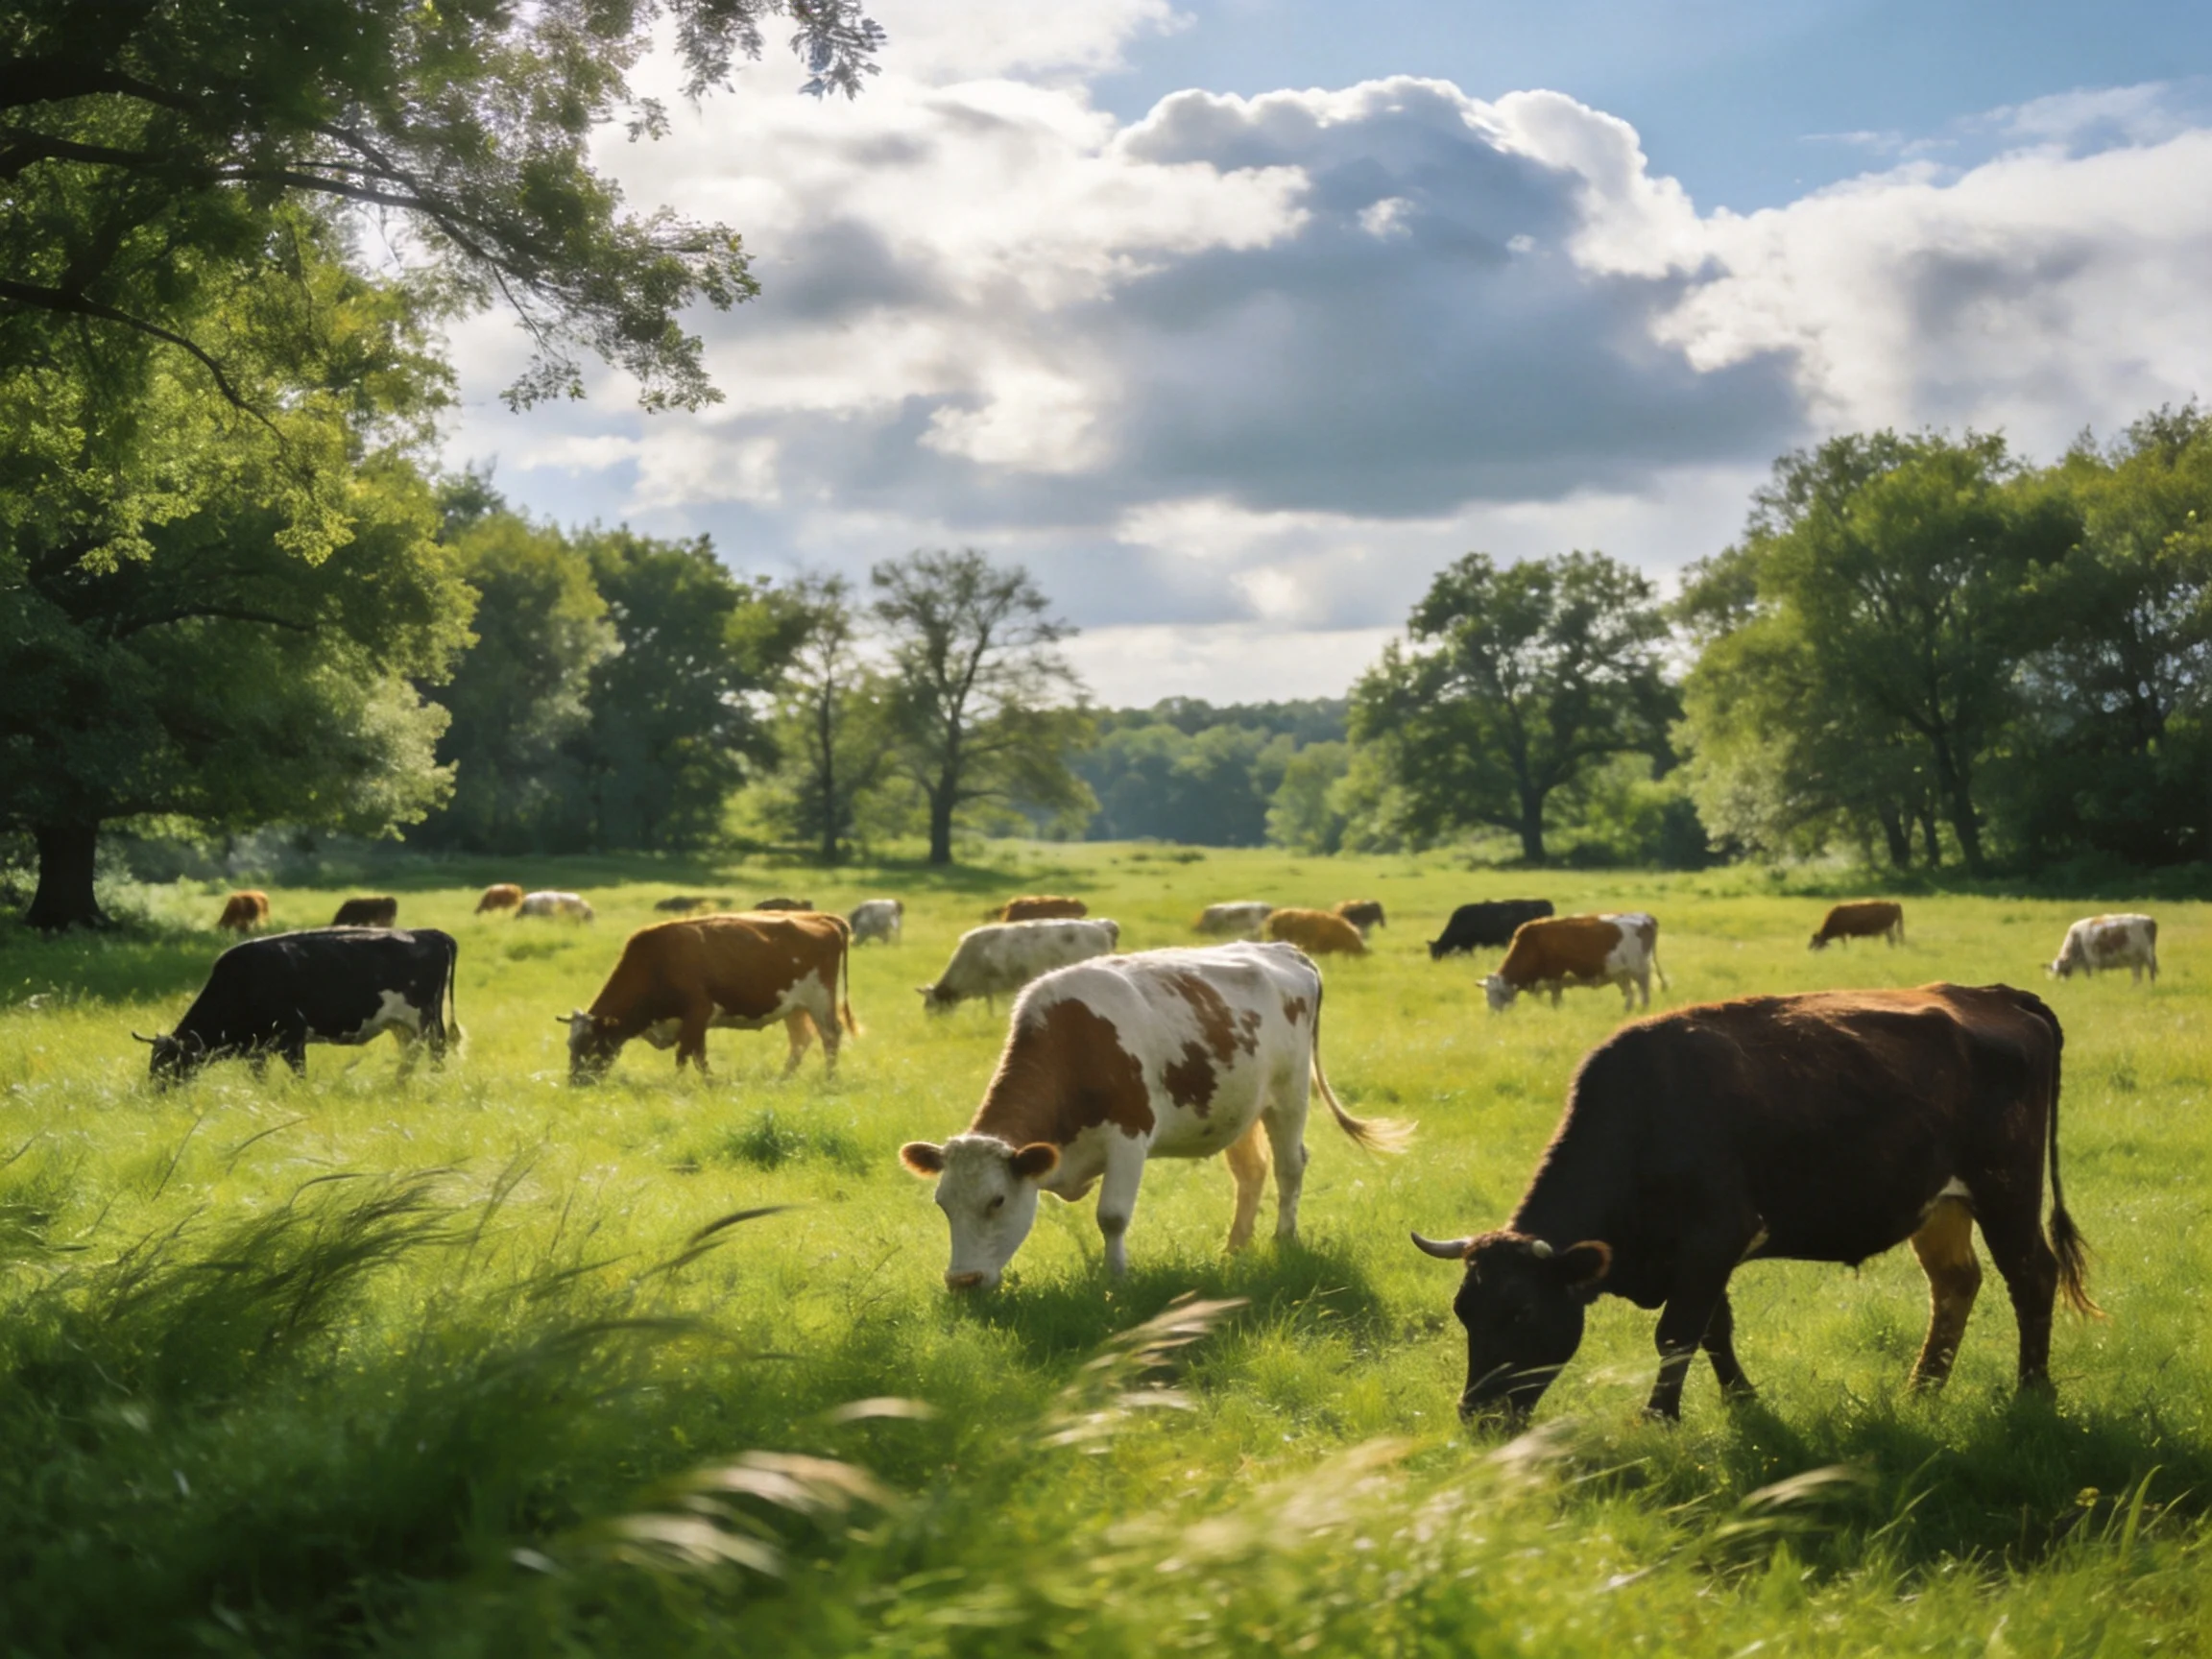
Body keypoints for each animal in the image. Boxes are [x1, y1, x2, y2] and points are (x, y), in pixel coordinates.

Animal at [136, 928, 459, 1086]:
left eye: (169, 1065)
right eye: (153, 1064)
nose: (156, 1095)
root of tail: (429, 933)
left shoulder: (292, 1036)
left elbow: (299, 1073)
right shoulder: (257, 1048)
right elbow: (259, 1078)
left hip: (425, 1018)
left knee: (436, 1049)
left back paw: (434, 1080)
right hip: (401, 1024)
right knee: (411, 1052)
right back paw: (399, 1083)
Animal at [564, 912, 857, 1083]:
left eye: (591, 1043)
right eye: (570, 1045)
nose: (576, 1083)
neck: (655, 962)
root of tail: (823, 919)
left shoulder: (697, 1012)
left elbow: (687, 1055)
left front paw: (685, 1084)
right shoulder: (696, 1022)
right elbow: (697, 1054)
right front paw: (708, 1081)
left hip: (820, 999)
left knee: (831, 1036)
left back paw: (829, 1079)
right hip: (794, 1007)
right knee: (801, 1041)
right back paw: (782, 1080)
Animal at [900, 942, 1412, 1289]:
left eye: (997, 1201)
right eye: (943, 1204)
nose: (961, 1282)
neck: (1075, 1045)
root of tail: (1282, 949)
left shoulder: (1129, 1137)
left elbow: (1111, 1216)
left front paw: (1116, 1280)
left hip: (1288, 1097)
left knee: (1290, 1167)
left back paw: (1283, 1240)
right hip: (1240, 1106)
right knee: (1251, 1173)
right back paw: (1234, 1248)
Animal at [1411, 984, 2096, 1423]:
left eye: (1522, 1311)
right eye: (1464, 1311)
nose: (1476, 1416)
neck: (1645, 1115)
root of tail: (1998, 995)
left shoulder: (1714, 1237)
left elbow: (1677, 1334)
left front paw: (1658, 1419)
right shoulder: (1701, 1255)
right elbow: (1715, 1330)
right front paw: (1744, 1403)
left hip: (2006, 1187)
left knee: (2031, 1276)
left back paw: (2032, 1392)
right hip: (1940, 1207)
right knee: (1955, 1283)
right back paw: (1921, 1391)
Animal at [1483, 913, 1664, 1012]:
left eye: (1499, 994)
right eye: (1487, 996)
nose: (1493, 1015)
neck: (1532, 945)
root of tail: (1646, 918)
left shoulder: (1555, 979)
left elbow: (1556, 1002)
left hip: (1640, 971)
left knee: (1644, 993)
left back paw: (1642, 1010)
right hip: (1621, 974)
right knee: (1630, 994)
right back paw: (1626, 1011)